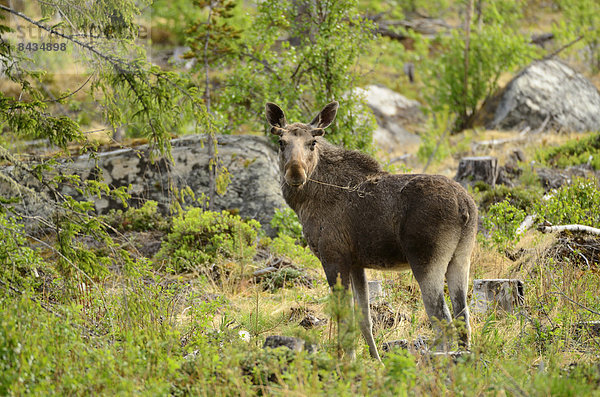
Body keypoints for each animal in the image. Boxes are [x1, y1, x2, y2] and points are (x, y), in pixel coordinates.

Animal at [268, 100, 478, 358]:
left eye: (312, 142)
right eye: (281, 142)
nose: (295, 172)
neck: (303, 203)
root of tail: (465, 207)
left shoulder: (333, 257)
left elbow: (344, 317)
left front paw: (347, 360)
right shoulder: (356, 263)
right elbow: (364, 319)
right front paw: (375, 360)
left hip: (426, 260)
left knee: (443, 322)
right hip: (461, 258)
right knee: (463, 321)